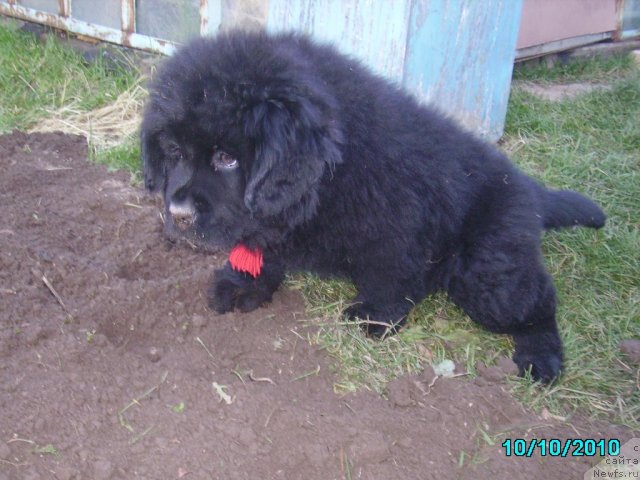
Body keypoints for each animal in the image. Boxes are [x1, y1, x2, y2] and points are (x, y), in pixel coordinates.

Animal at [141, 31, 604, 382]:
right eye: (175, 151)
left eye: (226, 158)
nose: (178, 215)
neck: (329, 169)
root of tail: (528, 186)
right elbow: (259, 242)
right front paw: (243, 280)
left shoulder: (396, 216)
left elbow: (390, 270)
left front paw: (377, 314)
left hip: (489, 269)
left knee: (538, 299)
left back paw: (541, 356)